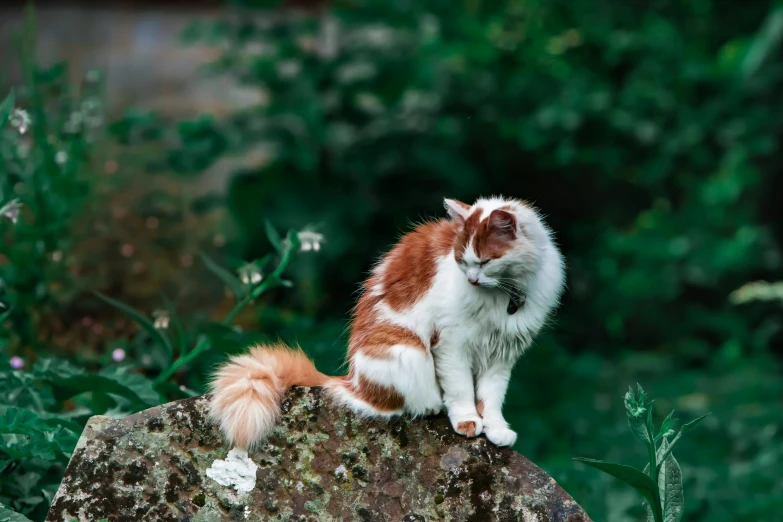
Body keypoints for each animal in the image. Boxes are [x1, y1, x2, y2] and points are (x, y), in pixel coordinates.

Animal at [208, 195, 564, 446]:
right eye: (462, 262)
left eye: (486, 262)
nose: (473, 280)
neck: (504, 294)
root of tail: (351, 380)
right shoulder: (451, 344)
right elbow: (462, 389)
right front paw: (467, 421)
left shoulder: (502, 354)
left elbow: (491, 397)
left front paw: (496, 429)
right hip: (408, 350)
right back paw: (432, 406)